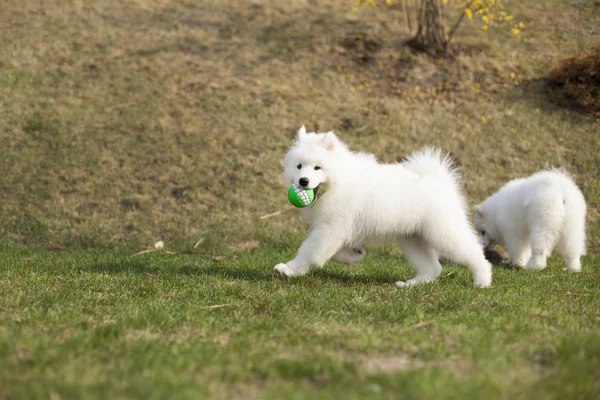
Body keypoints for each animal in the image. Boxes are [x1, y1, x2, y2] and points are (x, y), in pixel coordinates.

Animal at [276, 126, 492, 286]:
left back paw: (483, 280)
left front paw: (289, 269)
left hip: (443, 232)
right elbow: (331, 251)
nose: (303, 181)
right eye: (299, 166)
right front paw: (354, 255)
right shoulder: (332, 229)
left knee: (473, 252)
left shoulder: (331, 228)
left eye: (317, 168)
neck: (337, 182)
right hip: (413, 238)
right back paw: (411, 284)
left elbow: (308, 250)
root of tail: (440, 179)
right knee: (432, 267)